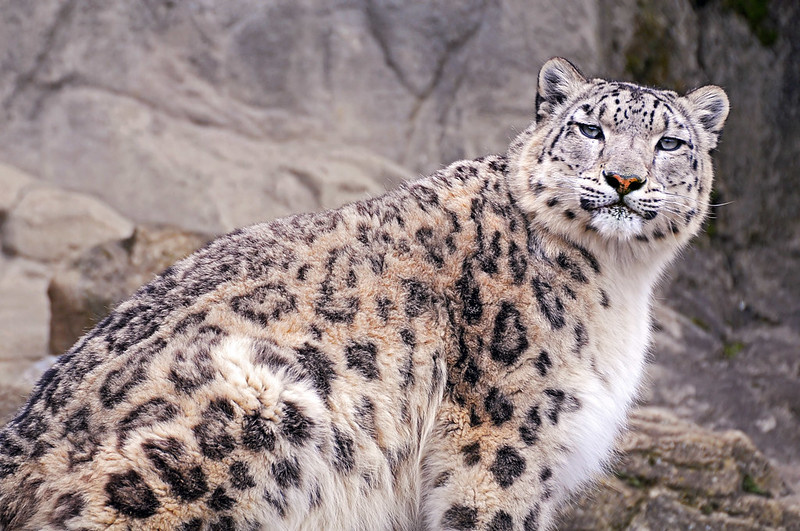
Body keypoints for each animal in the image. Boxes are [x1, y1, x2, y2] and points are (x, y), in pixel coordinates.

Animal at [0, 57, 728, 530]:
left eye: (670, 141)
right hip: (257, 408)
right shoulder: (505, 445)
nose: (625, 179)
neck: (619, 282)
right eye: (590, 129)